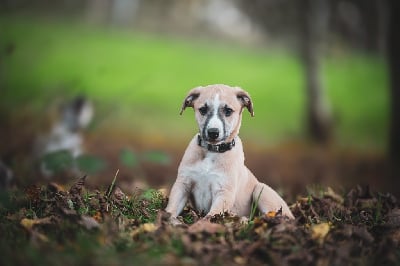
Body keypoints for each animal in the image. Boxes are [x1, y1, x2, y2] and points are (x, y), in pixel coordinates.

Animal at [166, 84, 294, 221]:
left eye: (228, 111)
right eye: (203, 110)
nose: (213, 132)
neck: (212, 151)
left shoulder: (224, 192)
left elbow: (211, 216)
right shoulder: (183, 184)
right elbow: (171, 208)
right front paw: (168, 220)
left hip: (261, 189)